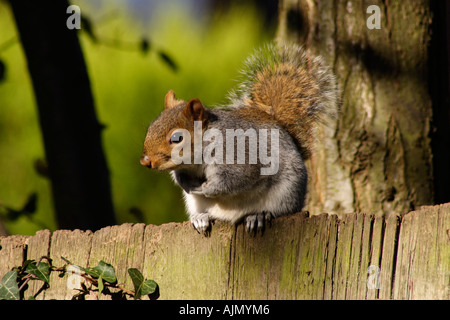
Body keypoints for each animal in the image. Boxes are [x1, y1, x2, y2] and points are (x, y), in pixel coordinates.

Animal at [141, 42, 338, 235]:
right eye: (151, 127)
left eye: (177, 138)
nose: (145, 161)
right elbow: (181, 178)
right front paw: (189, 185)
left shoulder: (238, 155)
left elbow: (233, 181)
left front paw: (204, 188)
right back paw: (200, 217)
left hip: (286, 193)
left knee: (277, 211)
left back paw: (258, 216)